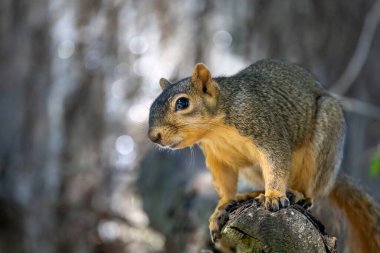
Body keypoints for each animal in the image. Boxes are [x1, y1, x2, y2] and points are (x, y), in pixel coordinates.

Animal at [148, 59, 380, 253]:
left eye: (182, 103)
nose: (153, 137)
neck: (215, 129)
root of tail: (333, 175)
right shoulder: (218, 157)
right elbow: (225, 183)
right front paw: (222, 206)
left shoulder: (266, 131)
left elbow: (276, 162)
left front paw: (275, 195)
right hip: (252, 170)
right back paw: (252, 194)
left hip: (325, 139)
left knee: (312, 188)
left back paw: (297, 194)